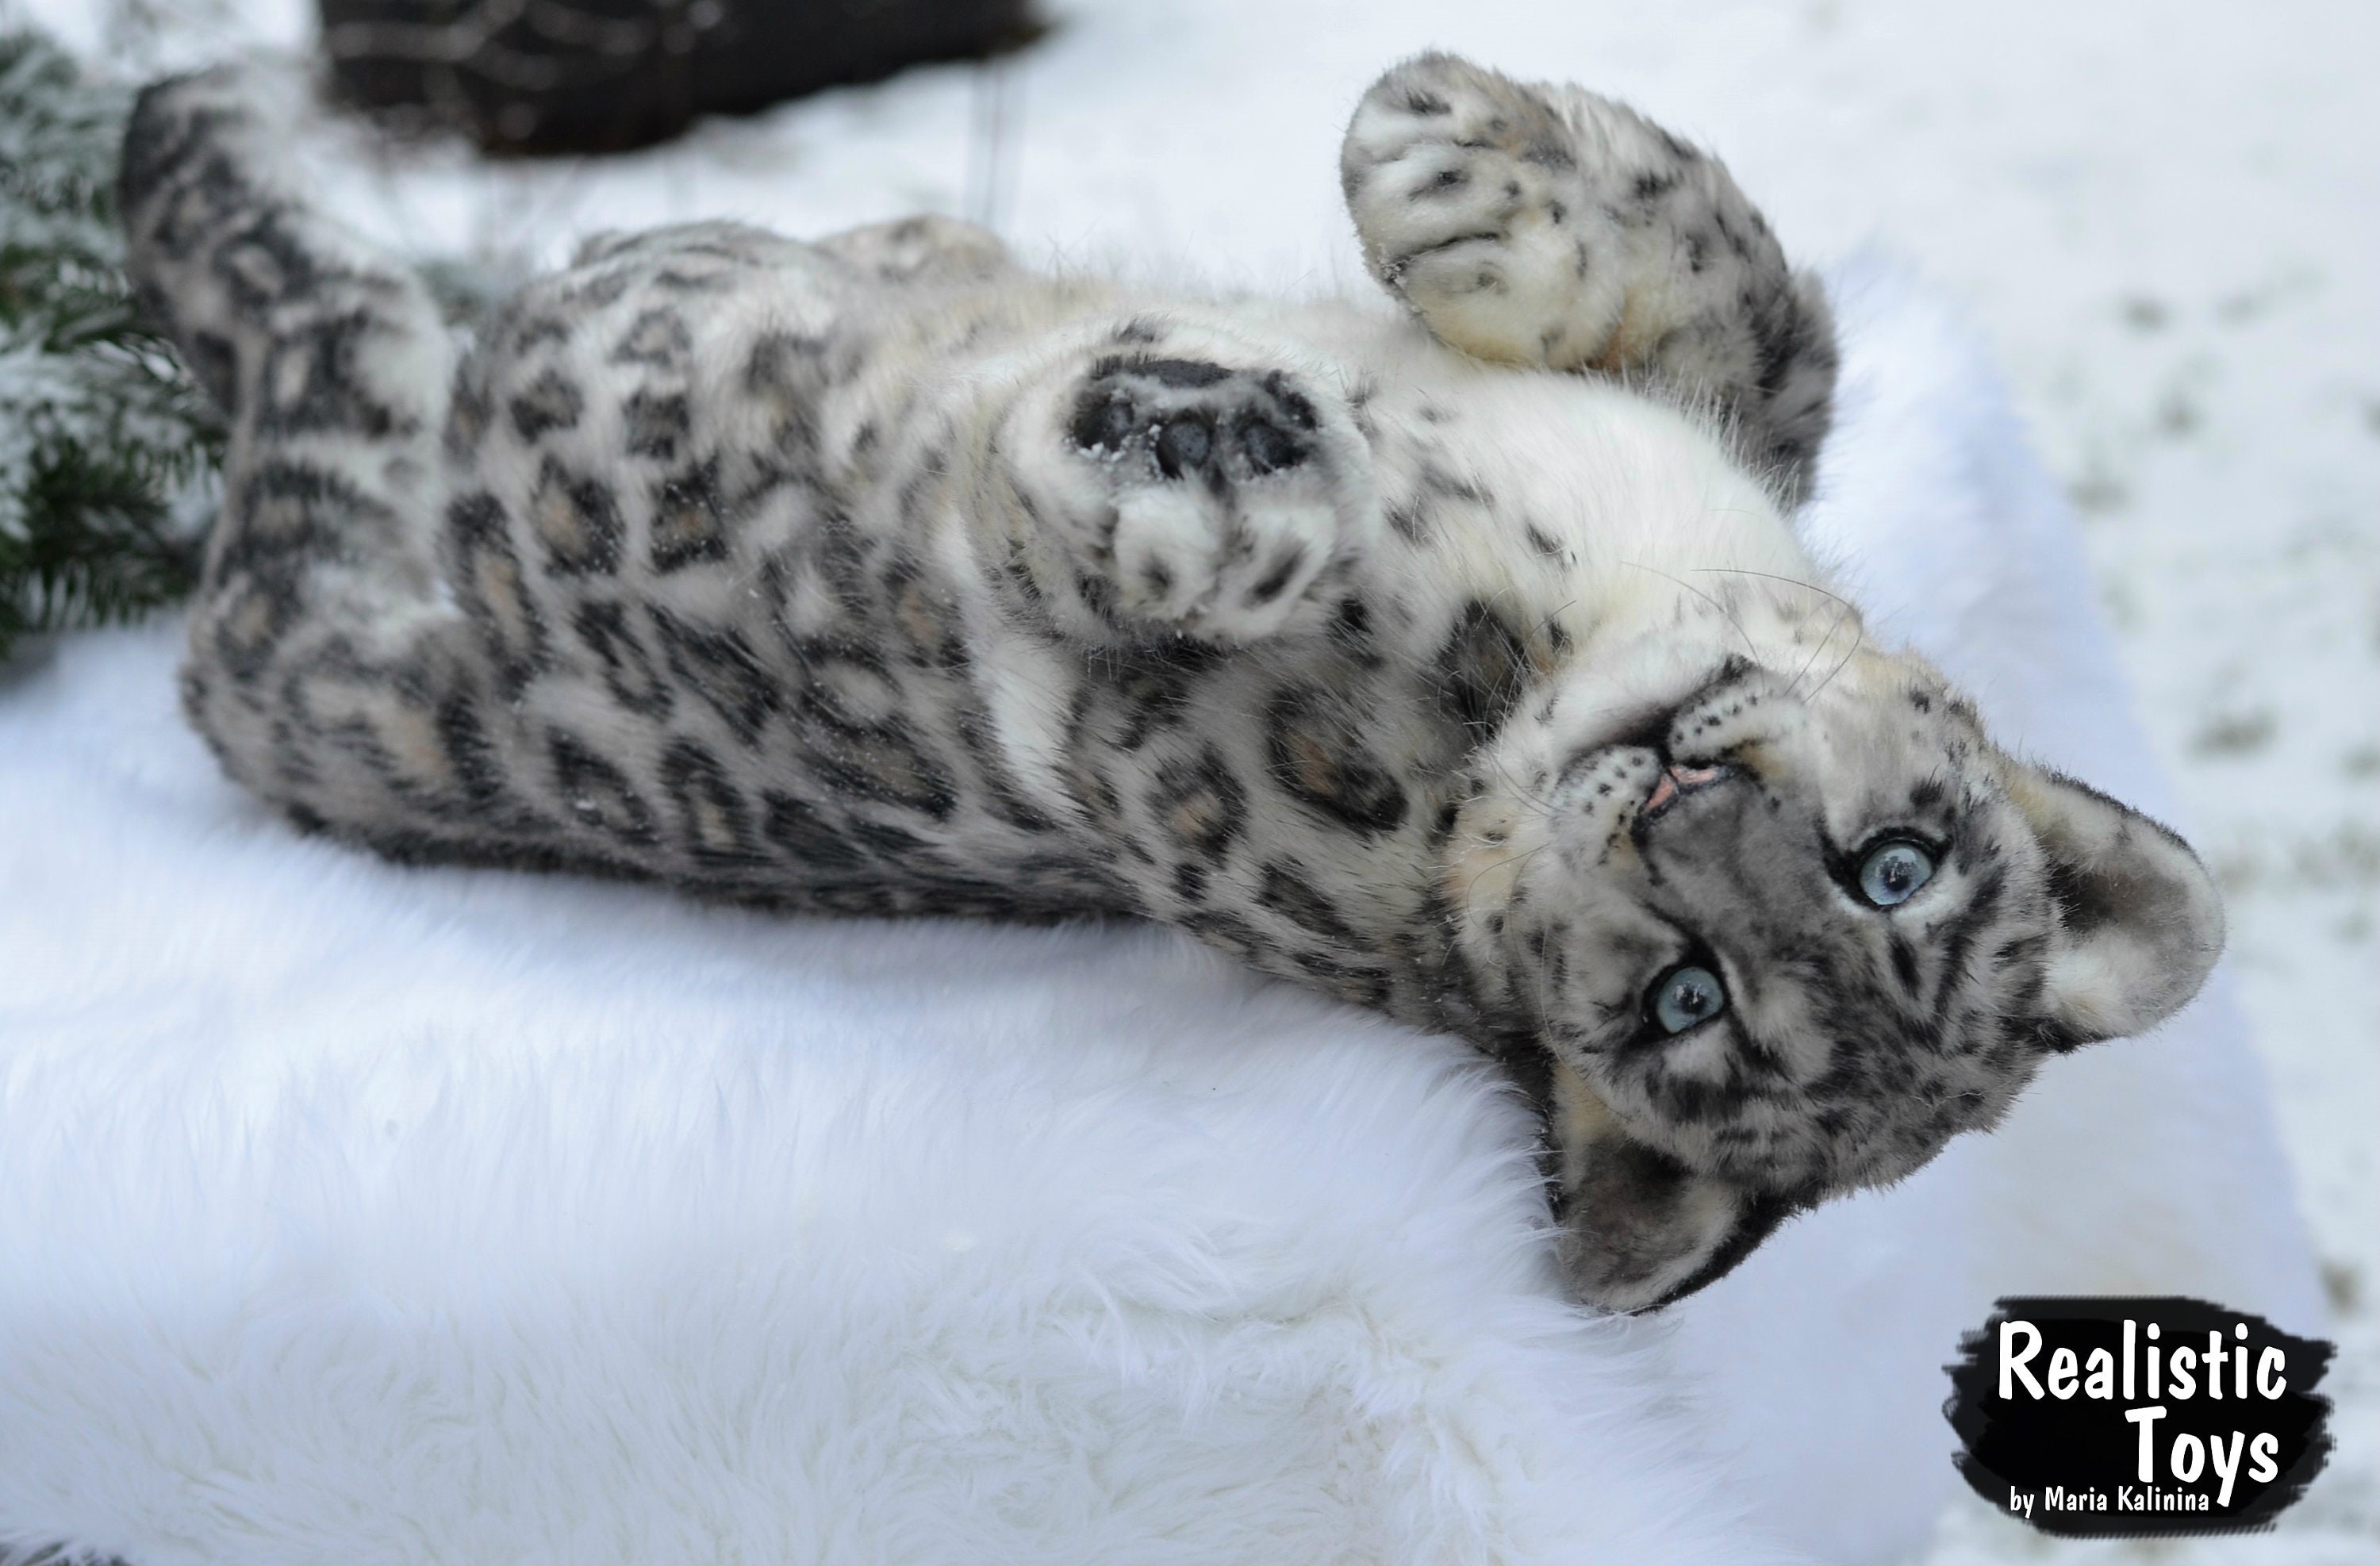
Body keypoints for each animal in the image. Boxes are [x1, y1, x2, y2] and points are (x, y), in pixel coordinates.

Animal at [119, 51, 2225, 1312]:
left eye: (1683, 1005)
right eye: (1896, 869)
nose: (1677, 802)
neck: (1580, 617)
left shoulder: (1166, 772)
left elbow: (1098, 625)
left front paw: (1198, 487)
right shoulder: (1731, 391)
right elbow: (1742, 272)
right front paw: (1444, 159)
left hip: (507, 450)